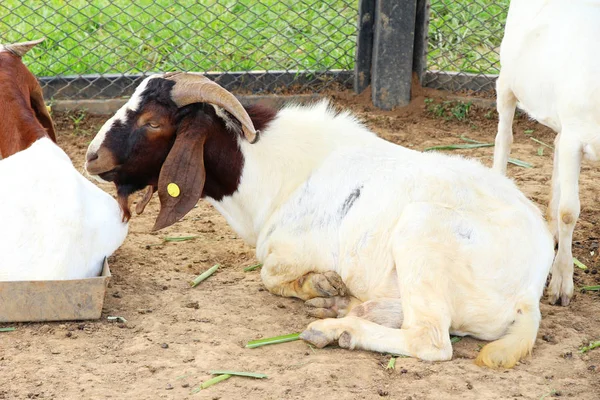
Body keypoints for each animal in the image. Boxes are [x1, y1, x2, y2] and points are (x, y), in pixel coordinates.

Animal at [84, 72, 552, 368]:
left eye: (153, 122)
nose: (91, 157)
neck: (270, 168)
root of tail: (530, 290)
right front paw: (328, 289)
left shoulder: (286, 249)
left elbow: (268, 275)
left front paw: (321, 284)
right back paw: (349, 308)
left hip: (421, 232)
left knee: (430, 340)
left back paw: (333, 328)